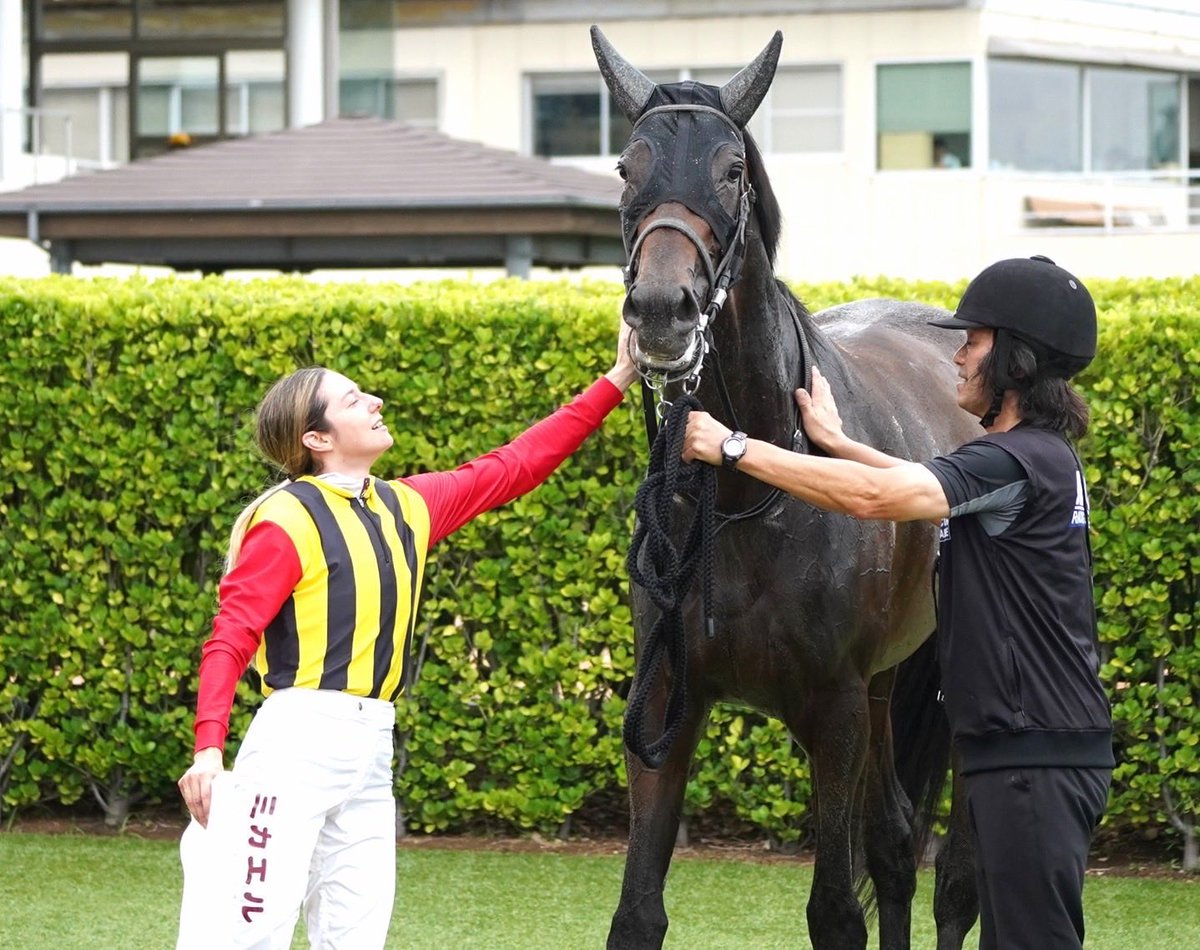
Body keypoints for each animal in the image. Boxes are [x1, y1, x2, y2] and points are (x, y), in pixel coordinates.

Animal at [591, 27, 982, 950]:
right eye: (627, 164)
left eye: (733, 169)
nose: (662, 311)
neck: (740, 499)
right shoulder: (665, 704)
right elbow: (638, 911)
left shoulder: (833, 715)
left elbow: (835, 910)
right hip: (886, 684)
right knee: (895, 843)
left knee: (955, 877)